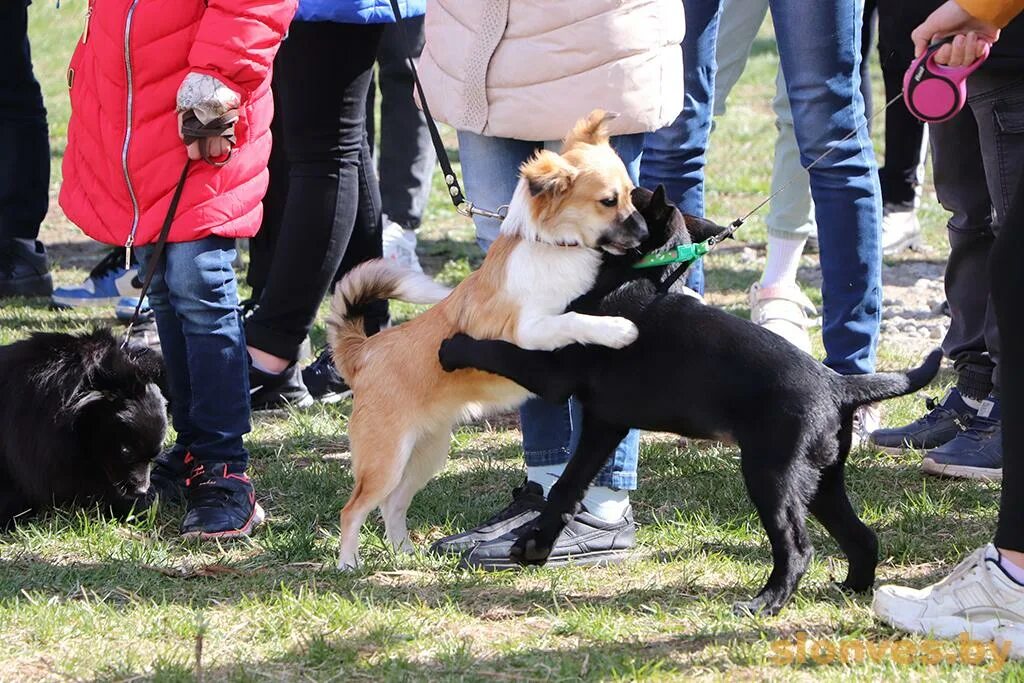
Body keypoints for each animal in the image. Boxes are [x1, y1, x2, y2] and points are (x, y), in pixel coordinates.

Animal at [327, 112, 647, 569]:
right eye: (608, 201)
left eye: (631, 197)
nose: (644, 233)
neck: (554, 248)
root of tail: (365, 351)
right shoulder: (529, 329)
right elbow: (574, 318)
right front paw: (618, 329)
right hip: (386, 458)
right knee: (354, 509)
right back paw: (348, 564)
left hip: (426, 454)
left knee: (393, 504)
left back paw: (406, 554)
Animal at [436, 185, 937, 614]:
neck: (640, 275)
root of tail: (840, 385)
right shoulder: (604, 423)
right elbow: (566, 486)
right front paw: (535, 546)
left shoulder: (555, 374)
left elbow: (502, 351)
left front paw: (453, 347)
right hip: (822, 482)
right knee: (862, 537)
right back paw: (852, 588)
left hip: (772, 475)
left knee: (798, 548)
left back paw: (764, 604)